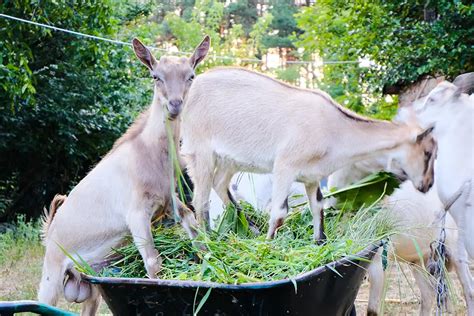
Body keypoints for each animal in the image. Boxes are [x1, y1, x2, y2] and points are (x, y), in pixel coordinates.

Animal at [181, 68, 436, 242]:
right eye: (427, 153)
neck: (335, 128)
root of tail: (193, 88)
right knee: (200, 200)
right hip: (200, 151)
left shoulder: (312, 176)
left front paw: (319, 242)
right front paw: (267, 246)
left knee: (220, 184)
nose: (428, 185)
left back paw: (249, 228)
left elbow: (318, 207)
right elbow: (280, 212)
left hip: (229, 160)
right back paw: (208, 241)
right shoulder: (285, 166)